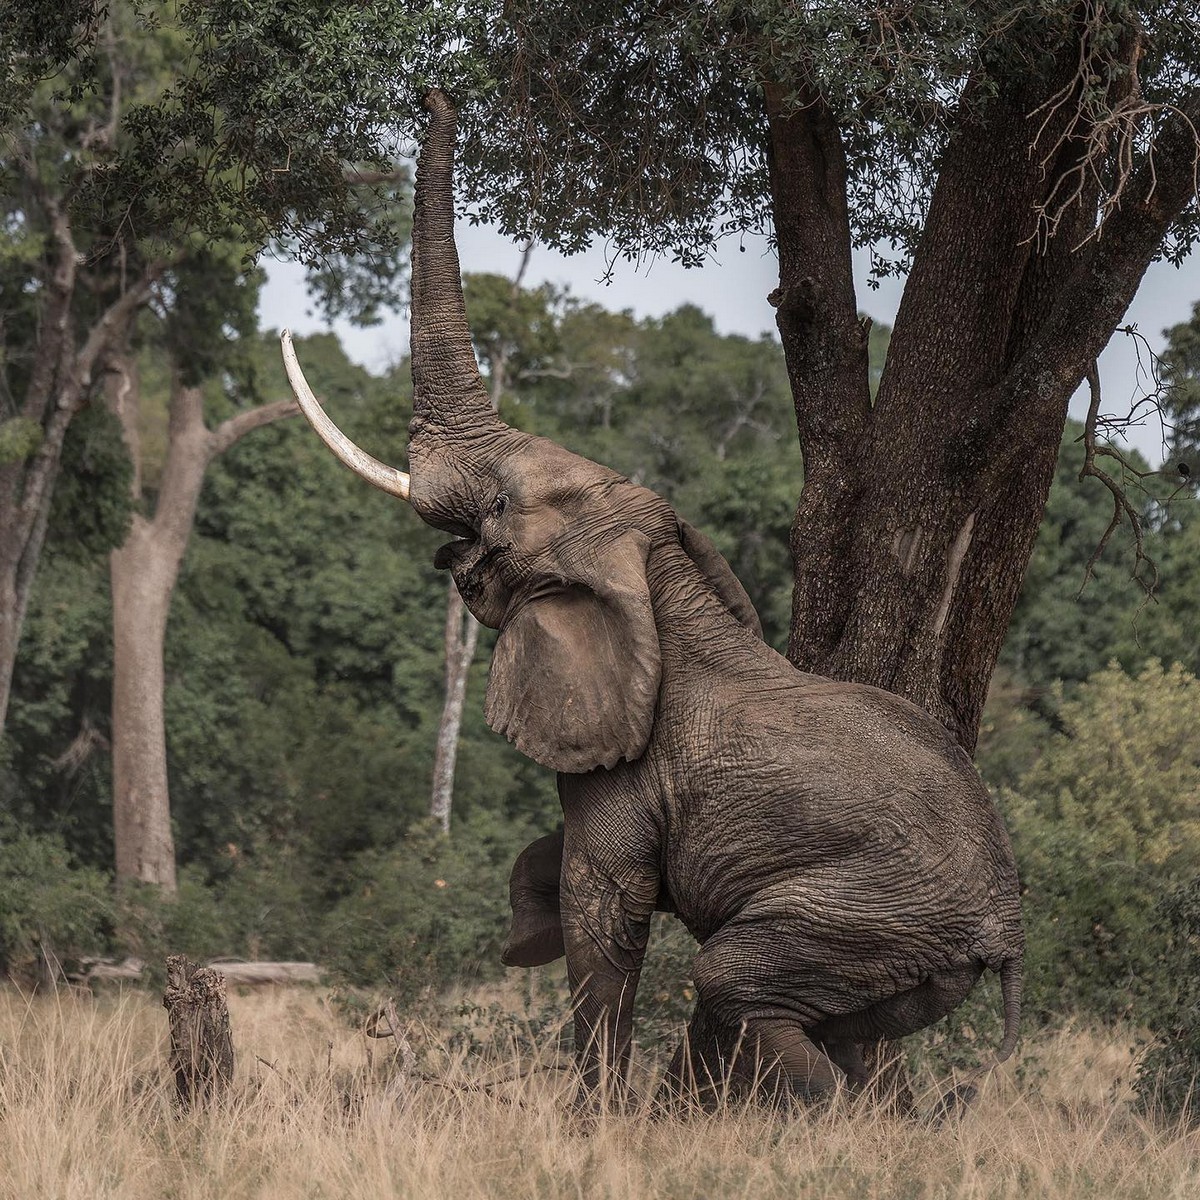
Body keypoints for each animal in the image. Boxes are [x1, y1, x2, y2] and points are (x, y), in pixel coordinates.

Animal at [278, 88, 1022, 1108]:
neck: (656, 574)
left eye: (501, 508)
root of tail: (1005, 928)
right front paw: (522, 935)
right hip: (903, 948)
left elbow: (605, 905)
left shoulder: (625, 759)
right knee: (848, 1029)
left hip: (862, 912)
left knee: (734, 982)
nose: (439, 93)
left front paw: (591, 1115)